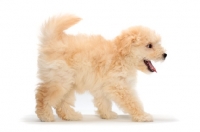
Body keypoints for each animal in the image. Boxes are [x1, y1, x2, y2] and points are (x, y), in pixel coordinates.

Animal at [34, 14, 167, 121]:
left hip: (68, 82)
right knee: (43, 95)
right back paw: (45, 116)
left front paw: (107, 114)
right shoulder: (119, 85)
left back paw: (72, 116)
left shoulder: (103, 85)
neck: (121, 55)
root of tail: (52, 42)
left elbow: (104, 102)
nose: (165, 55)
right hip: (60, 80)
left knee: (62, 103)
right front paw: (142, 116)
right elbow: (132, 101)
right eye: (149, 45)